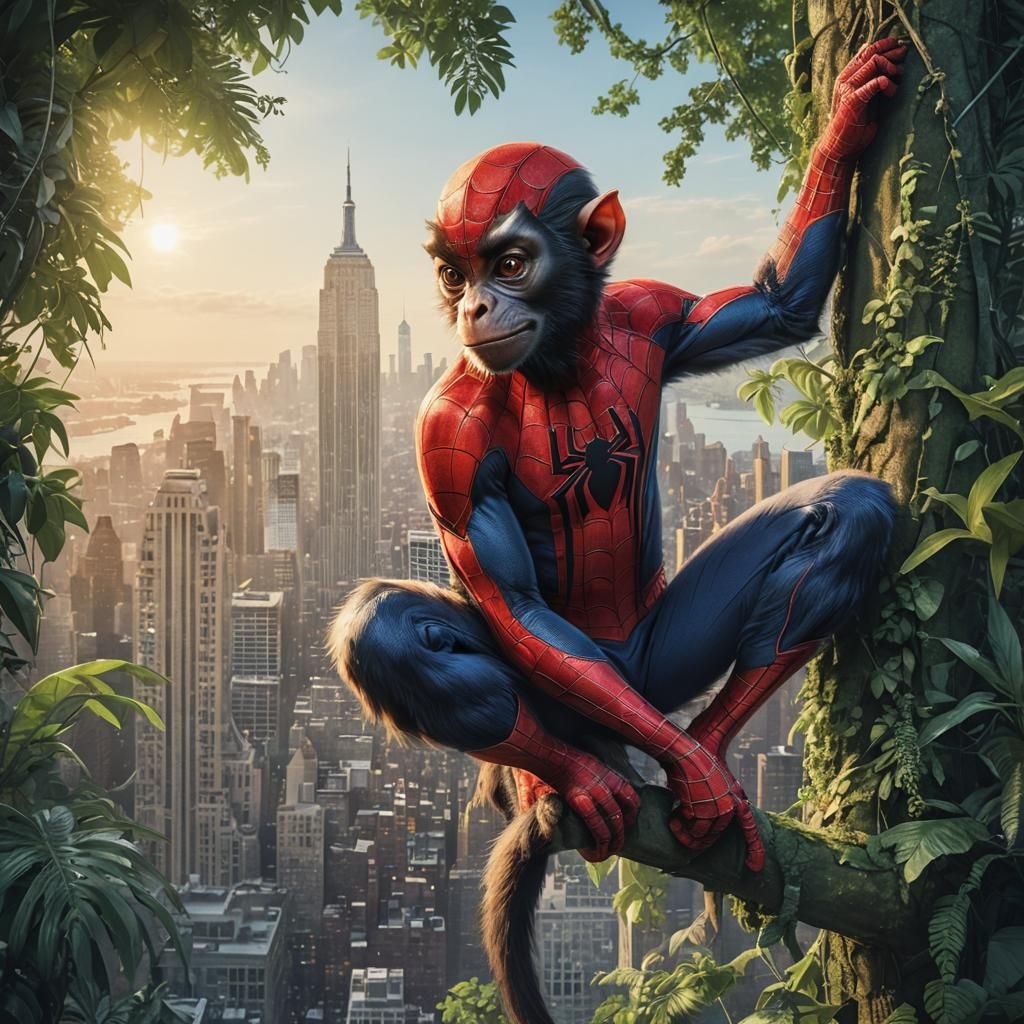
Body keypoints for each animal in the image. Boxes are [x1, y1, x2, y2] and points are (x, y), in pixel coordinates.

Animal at [329, 38, 906, 1024]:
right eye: (453, 274)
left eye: (508, 263)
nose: (473, 309)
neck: (560, 358)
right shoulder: (444, 432)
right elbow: (509, 598)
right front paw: (671, 771)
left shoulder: (656, 310)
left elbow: (775, 304)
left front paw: (849, 117)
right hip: (585, 693)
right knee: (386, 628)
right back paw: (558, 771)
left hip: (659, 664)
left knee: (853, 514)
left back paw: (705, 748)